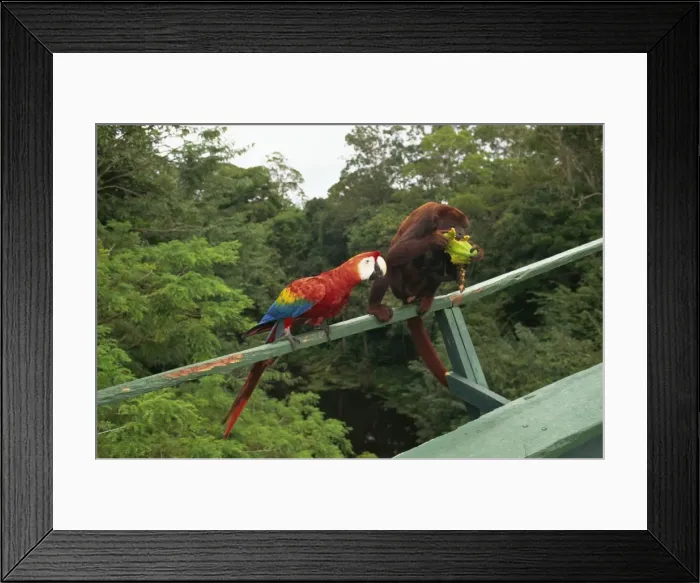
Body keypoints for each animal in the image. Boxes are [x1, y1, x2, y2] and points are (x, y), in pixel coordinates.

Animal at [367, 201, 483, 386]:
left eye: (464, 227)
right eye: (454, 225)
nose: (461, 233)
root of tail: (410, 296)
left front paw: (472, 255)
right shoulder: (424, 220)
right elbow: (394, 253)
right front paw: (436, 240)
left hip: (421, 287)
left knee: (437, 266)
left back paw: (429, 295)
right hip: (400, 289)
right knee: (389, 263)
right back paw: (375, 306)